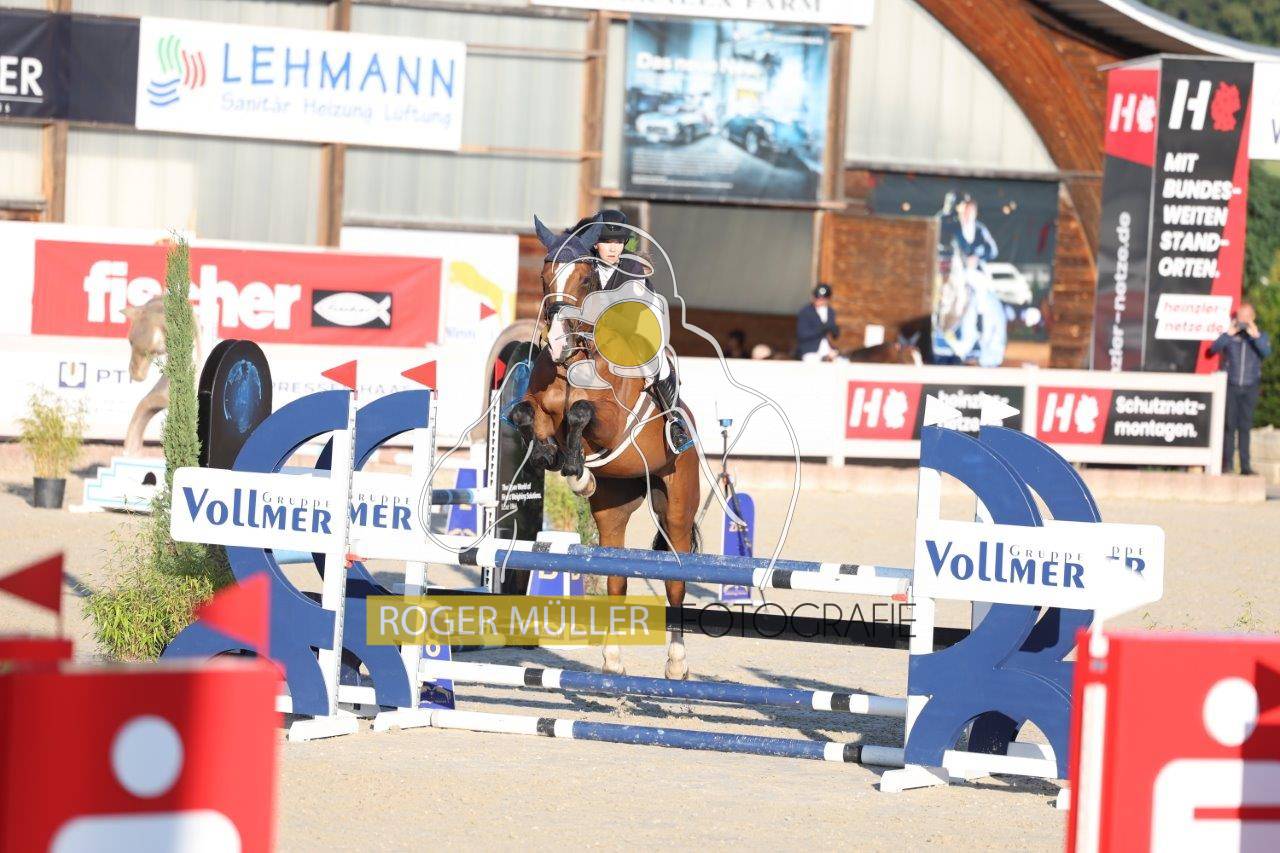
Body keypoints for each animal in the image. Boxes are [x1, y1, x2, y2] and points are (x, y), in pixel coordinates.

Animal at [507, 217, 701, 680]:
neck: (573, 361)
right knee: (616, 577)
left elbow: (580, 412)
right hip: (614, 509)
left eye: (583, 278)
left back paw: (677, 664)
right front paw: (552, 458)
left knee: (677, 578)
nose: (558, 341)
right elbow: (526, 414)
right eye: (544, 276)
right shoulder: (538, 405)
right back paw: (612, 659)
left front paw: (576, 472)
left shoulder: (611, 423)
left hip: (677, 505)